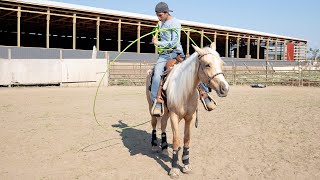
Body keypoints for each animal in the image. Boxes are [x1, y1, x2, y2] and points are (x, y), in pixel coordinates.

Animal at [146, 43, 229, 178]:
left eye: (221, 64)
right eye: (207, 64)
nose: (225, 88)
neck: (185, 90)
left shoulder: (190, 117)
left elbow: (186, 139)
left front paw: (186, 164)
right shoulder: (174, 116)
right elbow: (176, 140)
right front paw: (174, 168)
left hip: (167, 111)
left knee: (163, 125)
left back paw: (164, 148)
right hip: (151, 106)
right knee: (154, 124)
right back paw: (154, 146)